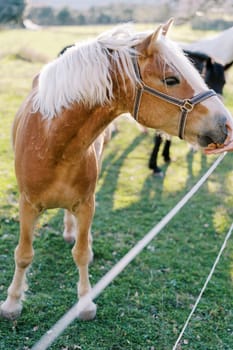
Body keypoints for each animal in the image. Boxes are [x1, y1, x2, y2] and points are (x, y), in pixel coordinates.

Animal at [0, 18, 232, 320]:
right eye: (171, 79)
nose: (225, 124)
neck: (53, 144)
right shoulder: (27, 206)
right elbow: (23, 255)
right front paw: (12, 302)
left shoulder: (86, 204)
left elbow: (82, 253)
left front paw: (85, 303)